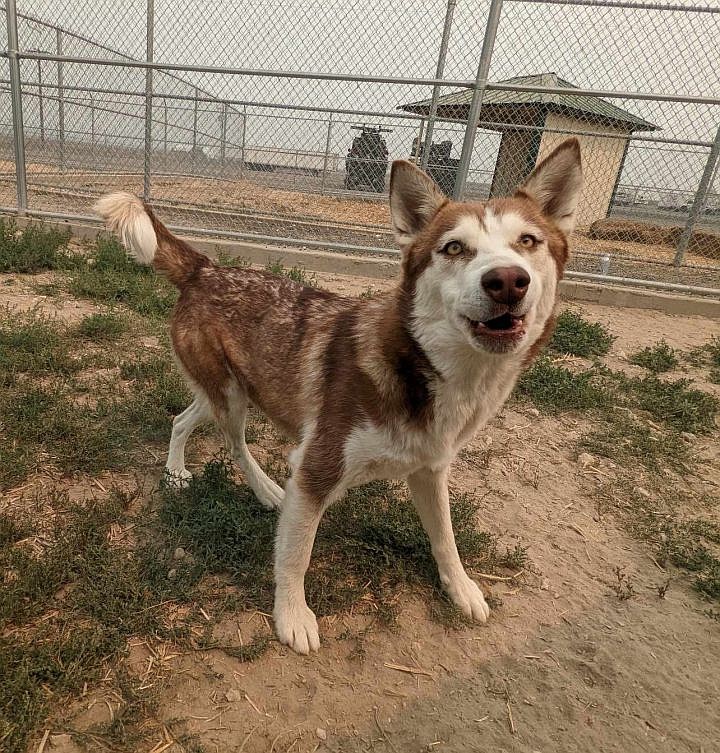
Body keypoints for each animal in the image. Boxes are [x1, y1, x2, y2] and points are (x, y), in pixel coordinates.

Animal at [95, 138, 584, 656]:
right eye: (454, 248)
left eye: (528, 241)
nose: (507, 280)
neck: (430, 370)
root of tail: (205, 269)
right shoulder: (315, 471)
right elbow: (296, 556)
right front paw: (292, 617)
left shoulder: (430, 469)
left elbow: (446, 537)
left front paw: (462, 589)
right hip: (230, 398)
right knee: (233, 443)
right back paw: (263, 488)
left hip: (225, 392)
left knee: (182, 419)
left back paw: (177, 472)